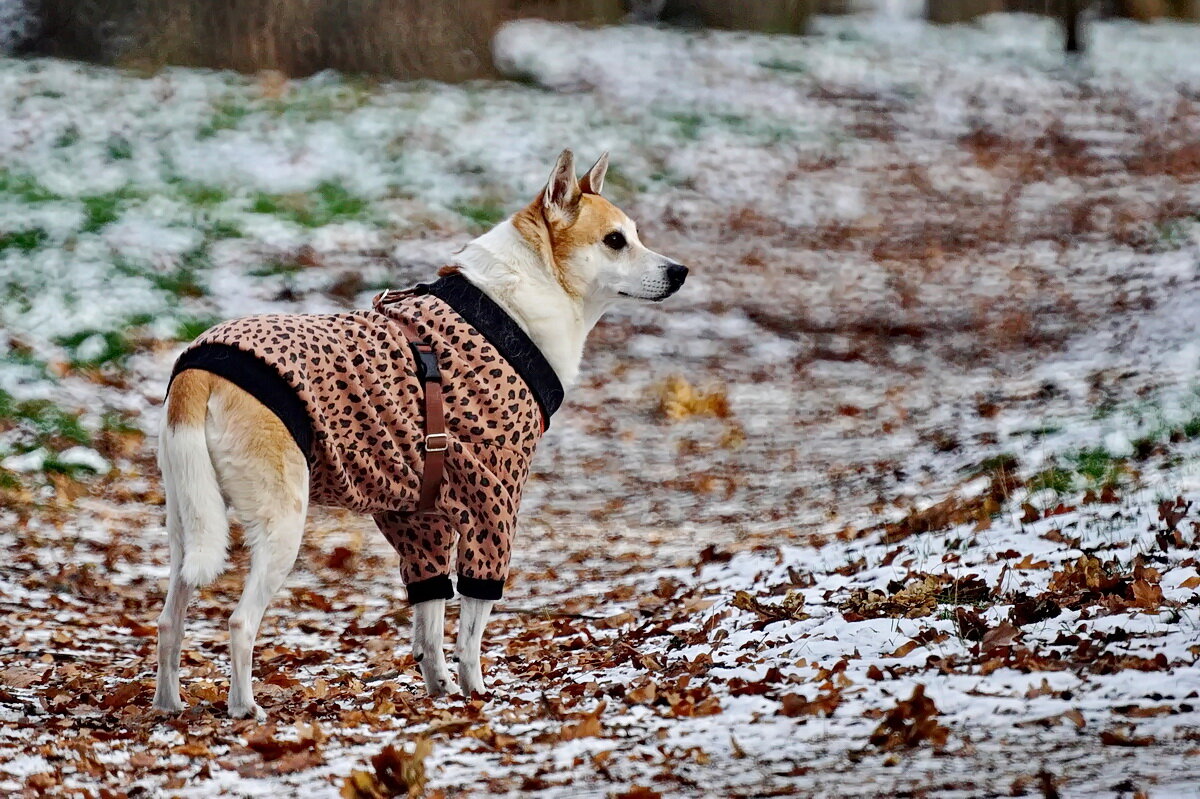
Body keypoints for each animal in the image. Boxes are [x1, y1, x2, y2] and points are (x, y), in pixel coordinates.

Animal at [154, 147, 691, 715]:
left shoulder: (420, 521)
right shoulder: (491, 509)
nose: (679, 272)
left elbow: (430, 624)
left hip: (189, 523)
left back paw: (169, 705)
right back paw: (244, 708)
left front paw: (440, 692)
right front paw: (476, 695)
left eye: (635, 234)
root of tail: (198, 370)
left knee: (170, 620)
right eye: (614, 241)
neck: (519, 297)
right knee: (239, 623)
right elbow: (471, 628)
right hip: (281, 524)